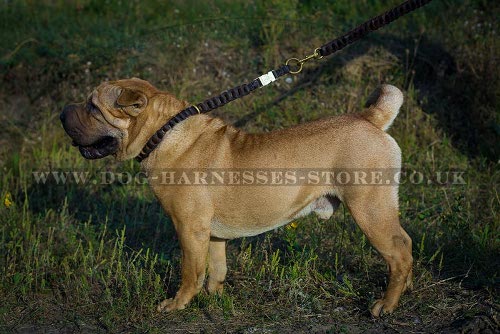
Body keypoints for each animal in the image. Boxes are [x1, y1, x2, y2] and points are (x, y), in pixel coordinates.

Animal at [60, 77, 414, 316]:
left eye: (92, 106)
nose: (62, 111)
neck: (163, 134)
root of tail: (370, 118)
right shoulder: (212, 233)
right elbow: (216, 268)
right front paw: (214, 296)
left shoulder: (189, 228)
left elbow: (190, 271)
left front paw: (177, 304)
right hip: (380, 208)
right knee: (406, 244)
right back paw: (405, 288)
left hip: (369, 209)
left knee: (398, 252)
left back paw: (385, 305)